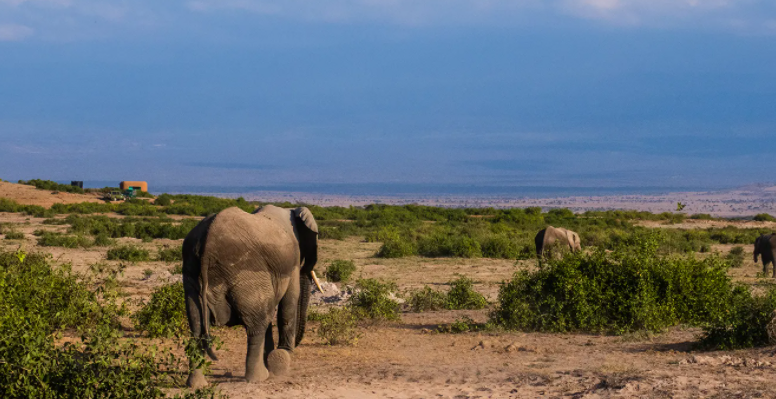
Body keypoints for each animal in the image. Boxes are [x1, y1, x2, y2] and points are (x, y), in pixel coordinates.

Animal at [181, 205, 322, 390]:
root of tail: (207, 241)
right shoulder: (292, 260)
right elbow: (288, 303)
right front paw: (281, 360)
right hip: (246, 272)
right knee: (257, 325)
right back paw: (259, 378)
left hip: (192, 272)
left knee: (197, 327)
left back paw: (197, 385)